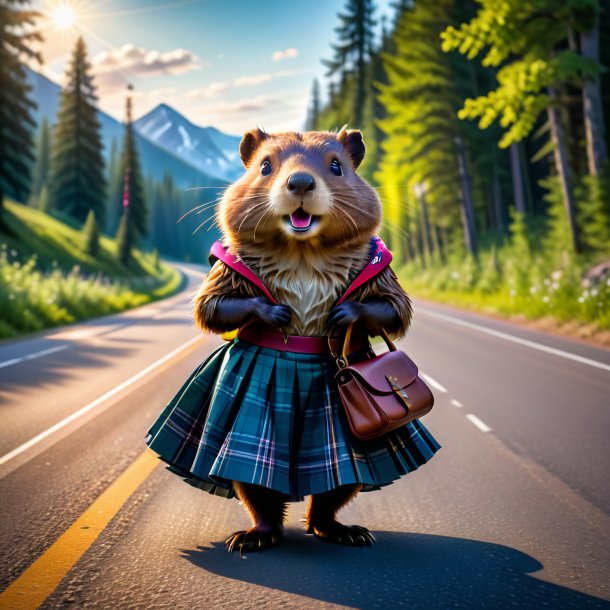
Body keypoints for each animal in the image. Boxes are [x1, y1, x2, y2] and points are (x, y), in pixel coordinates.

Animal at [190, 128, 416, 552]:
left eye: (336, 165)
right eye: (264, 165)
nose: (299, 182)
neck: (302, 251)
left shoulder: (379, 266)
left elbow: (396, 307)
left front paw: (344, 315)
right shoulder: (228, 263)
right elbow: (211, 305)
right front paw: (274, 313)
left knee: (337, 489)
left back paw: (345, 531)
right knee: (253, 487)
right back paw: (253, 537)